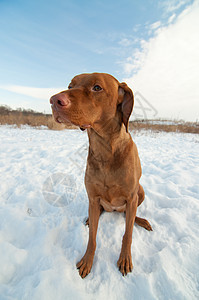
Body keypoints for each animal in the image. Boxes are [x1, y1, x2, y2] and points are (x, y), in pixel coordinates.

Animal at [50, 72, 152, 278]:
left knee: (130, 216)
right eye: (70, 85)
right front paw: (87, 261)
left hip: (140, 192)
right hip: (96, 202)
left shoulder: (131, 197)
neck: (106, 149)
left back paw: (141, 220)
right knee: (98, 211)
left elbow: (127, 234)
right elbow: (92, 238)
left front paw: (125, 259)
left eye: (97, 87)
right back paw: (91, 218)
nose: (54, 100)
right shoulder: (93, 195)